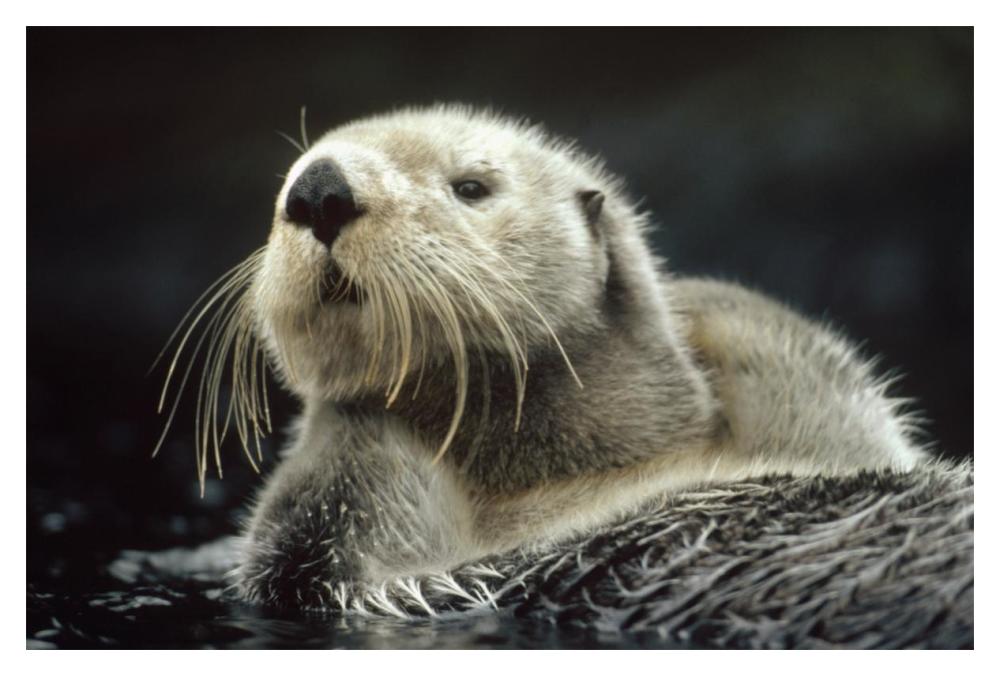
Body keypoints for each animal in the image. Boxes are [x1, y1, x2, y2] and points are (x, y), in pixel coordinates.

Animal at [157, 105, 927, 611]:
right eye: (288, 180)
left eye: (471, 186)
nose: (317, 189)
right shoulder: (349, 563)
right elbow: (317, 517)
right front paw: (351, 417)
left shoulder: (839, 428)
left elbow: (832, 388)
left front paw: (700, 303)